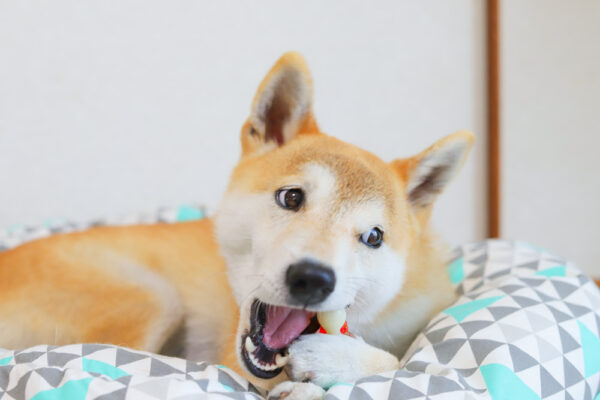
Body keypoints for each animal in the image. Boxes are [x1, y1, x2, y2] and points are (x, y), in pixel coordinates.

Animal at [0, 52, 474, 396]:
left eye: (374, 237)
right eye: (291, 197)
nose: (313, 278)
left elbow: (402, 362)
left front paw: (335, 360)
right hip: (153, 298)